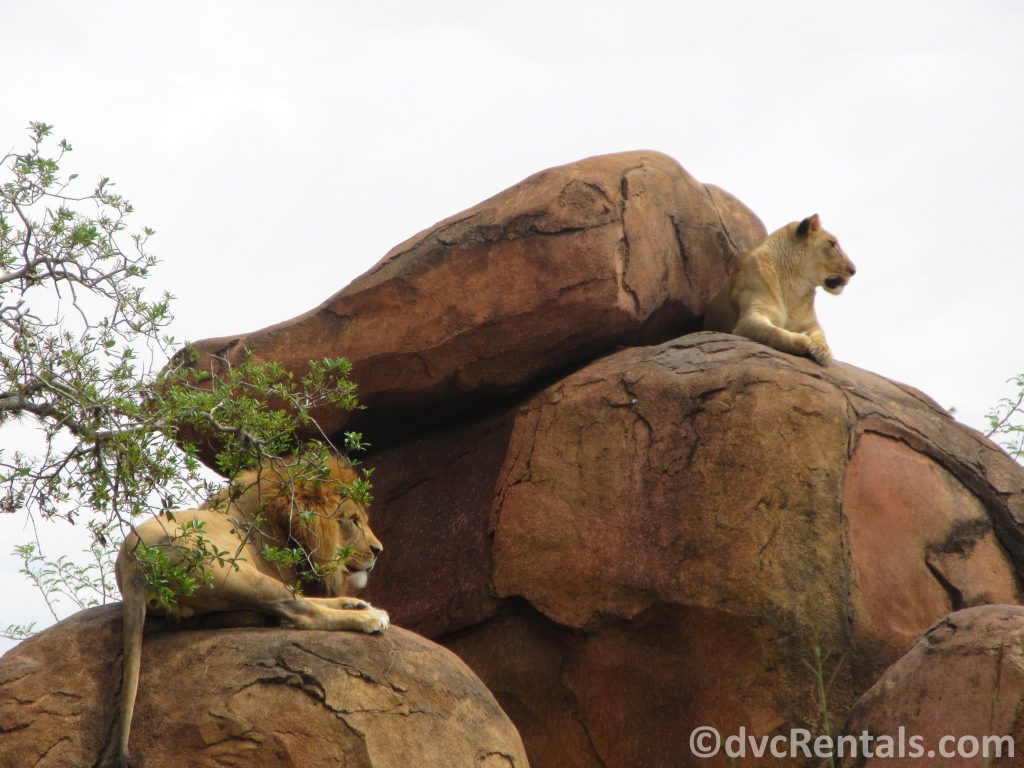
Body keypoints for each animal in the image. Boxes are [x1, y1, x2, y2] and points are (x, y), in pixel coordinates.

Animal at [104, 454, 387, 765]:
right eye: (353, 520)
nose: (379, 550)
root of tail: (135, 566)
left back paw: (357, 605)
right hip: (232, 569)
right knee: (301, 612)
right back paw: (368, 617)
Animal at [704, 214, 856, 364]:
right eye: (832, 244)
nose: (854, 270)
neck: (795, 283)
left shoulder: (810, 322)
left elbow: (820, 334)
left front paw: (823, 351)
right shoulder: (749, 319)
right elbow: (773, 332)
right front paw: (803, 340)